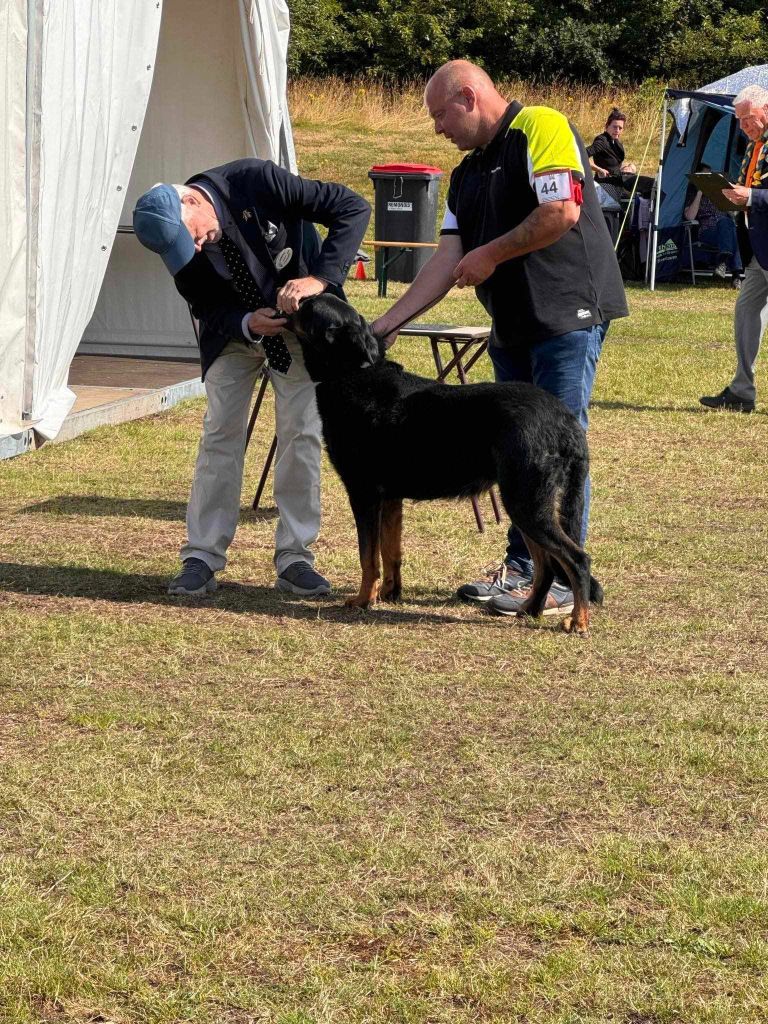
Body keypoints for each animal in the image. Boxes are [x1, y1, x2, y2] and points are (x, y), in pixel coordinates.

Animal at [290, 292, 606, 634]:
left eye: (307, 306)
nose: (288, 296)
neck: (352, 372)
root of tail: (564, 419)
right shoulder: (390, 498)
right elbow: (391, 551)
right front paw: (390, 593)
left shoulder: (364, 494)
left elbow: (368, 557)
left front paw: (363, 599)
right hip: (525, 504)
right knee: (546, 564)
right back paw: (528, 610)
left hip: (527, 502)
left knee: (576, 560)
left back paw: (578, 620)